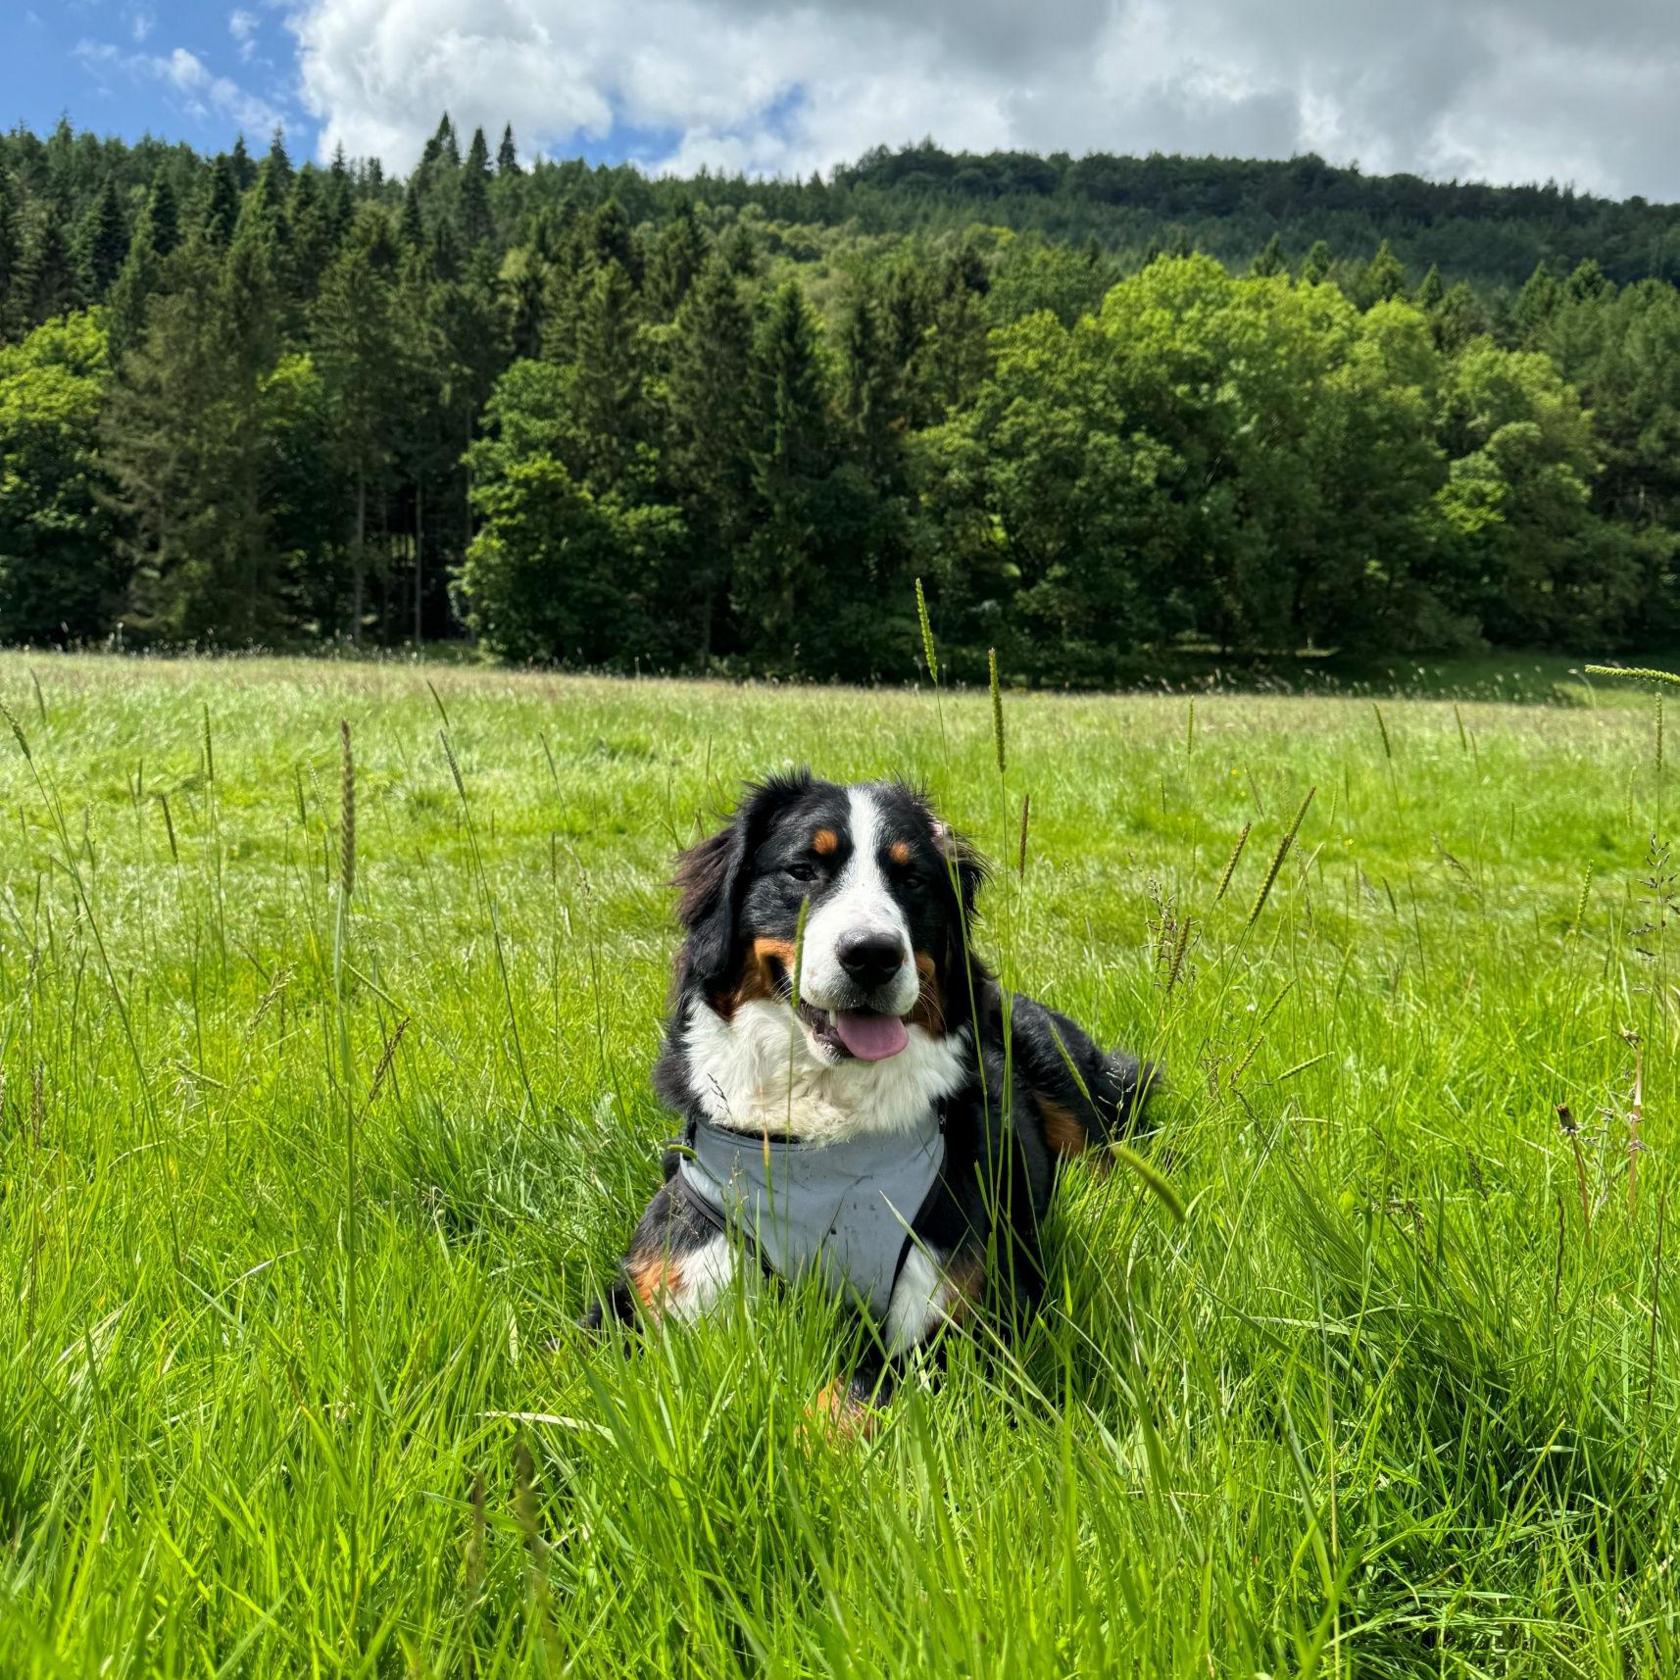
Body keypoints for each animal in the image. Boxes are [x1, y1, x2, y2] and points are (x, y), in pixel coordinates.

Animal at [584, 772, 1149, 1431]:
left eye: (912, 880)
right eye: (803, 869)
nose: (873, 954)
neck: (822, 1136)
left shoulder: (966, 1316)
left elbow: (845, 1399)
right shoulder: (656, 1282)